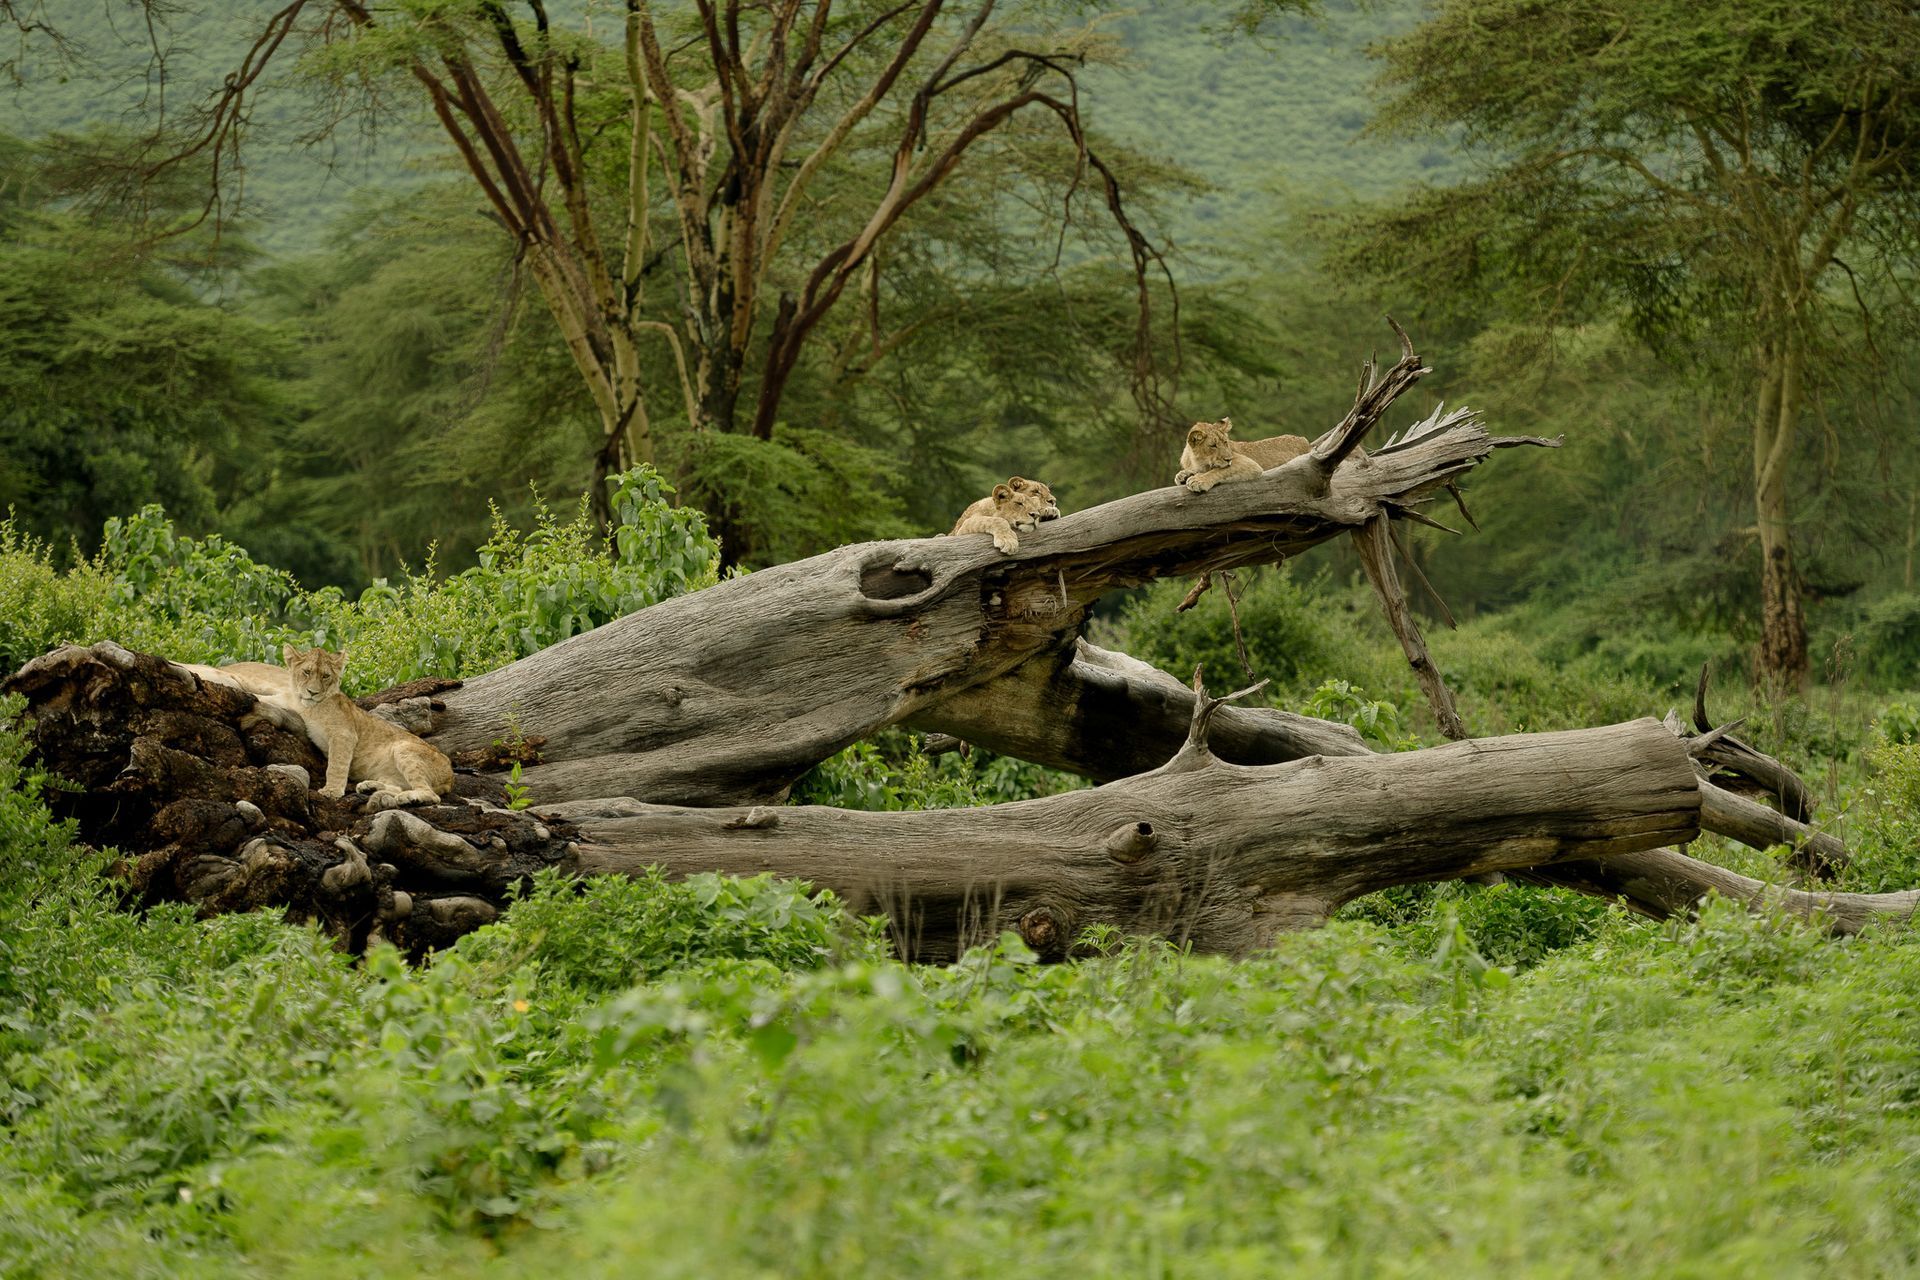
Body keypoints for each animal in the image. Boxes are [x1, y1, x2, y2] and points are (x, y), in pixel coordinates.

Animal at [1175, 417, 1313, 492]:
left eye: (1225, 442)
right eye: (1213, 445)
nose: (1229, 459)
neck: (1197, 460)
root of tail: (1304, 440)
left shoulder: (1249, 463)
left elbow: (1218, 471)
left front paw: (1198, 480)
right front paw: (1183, 475)